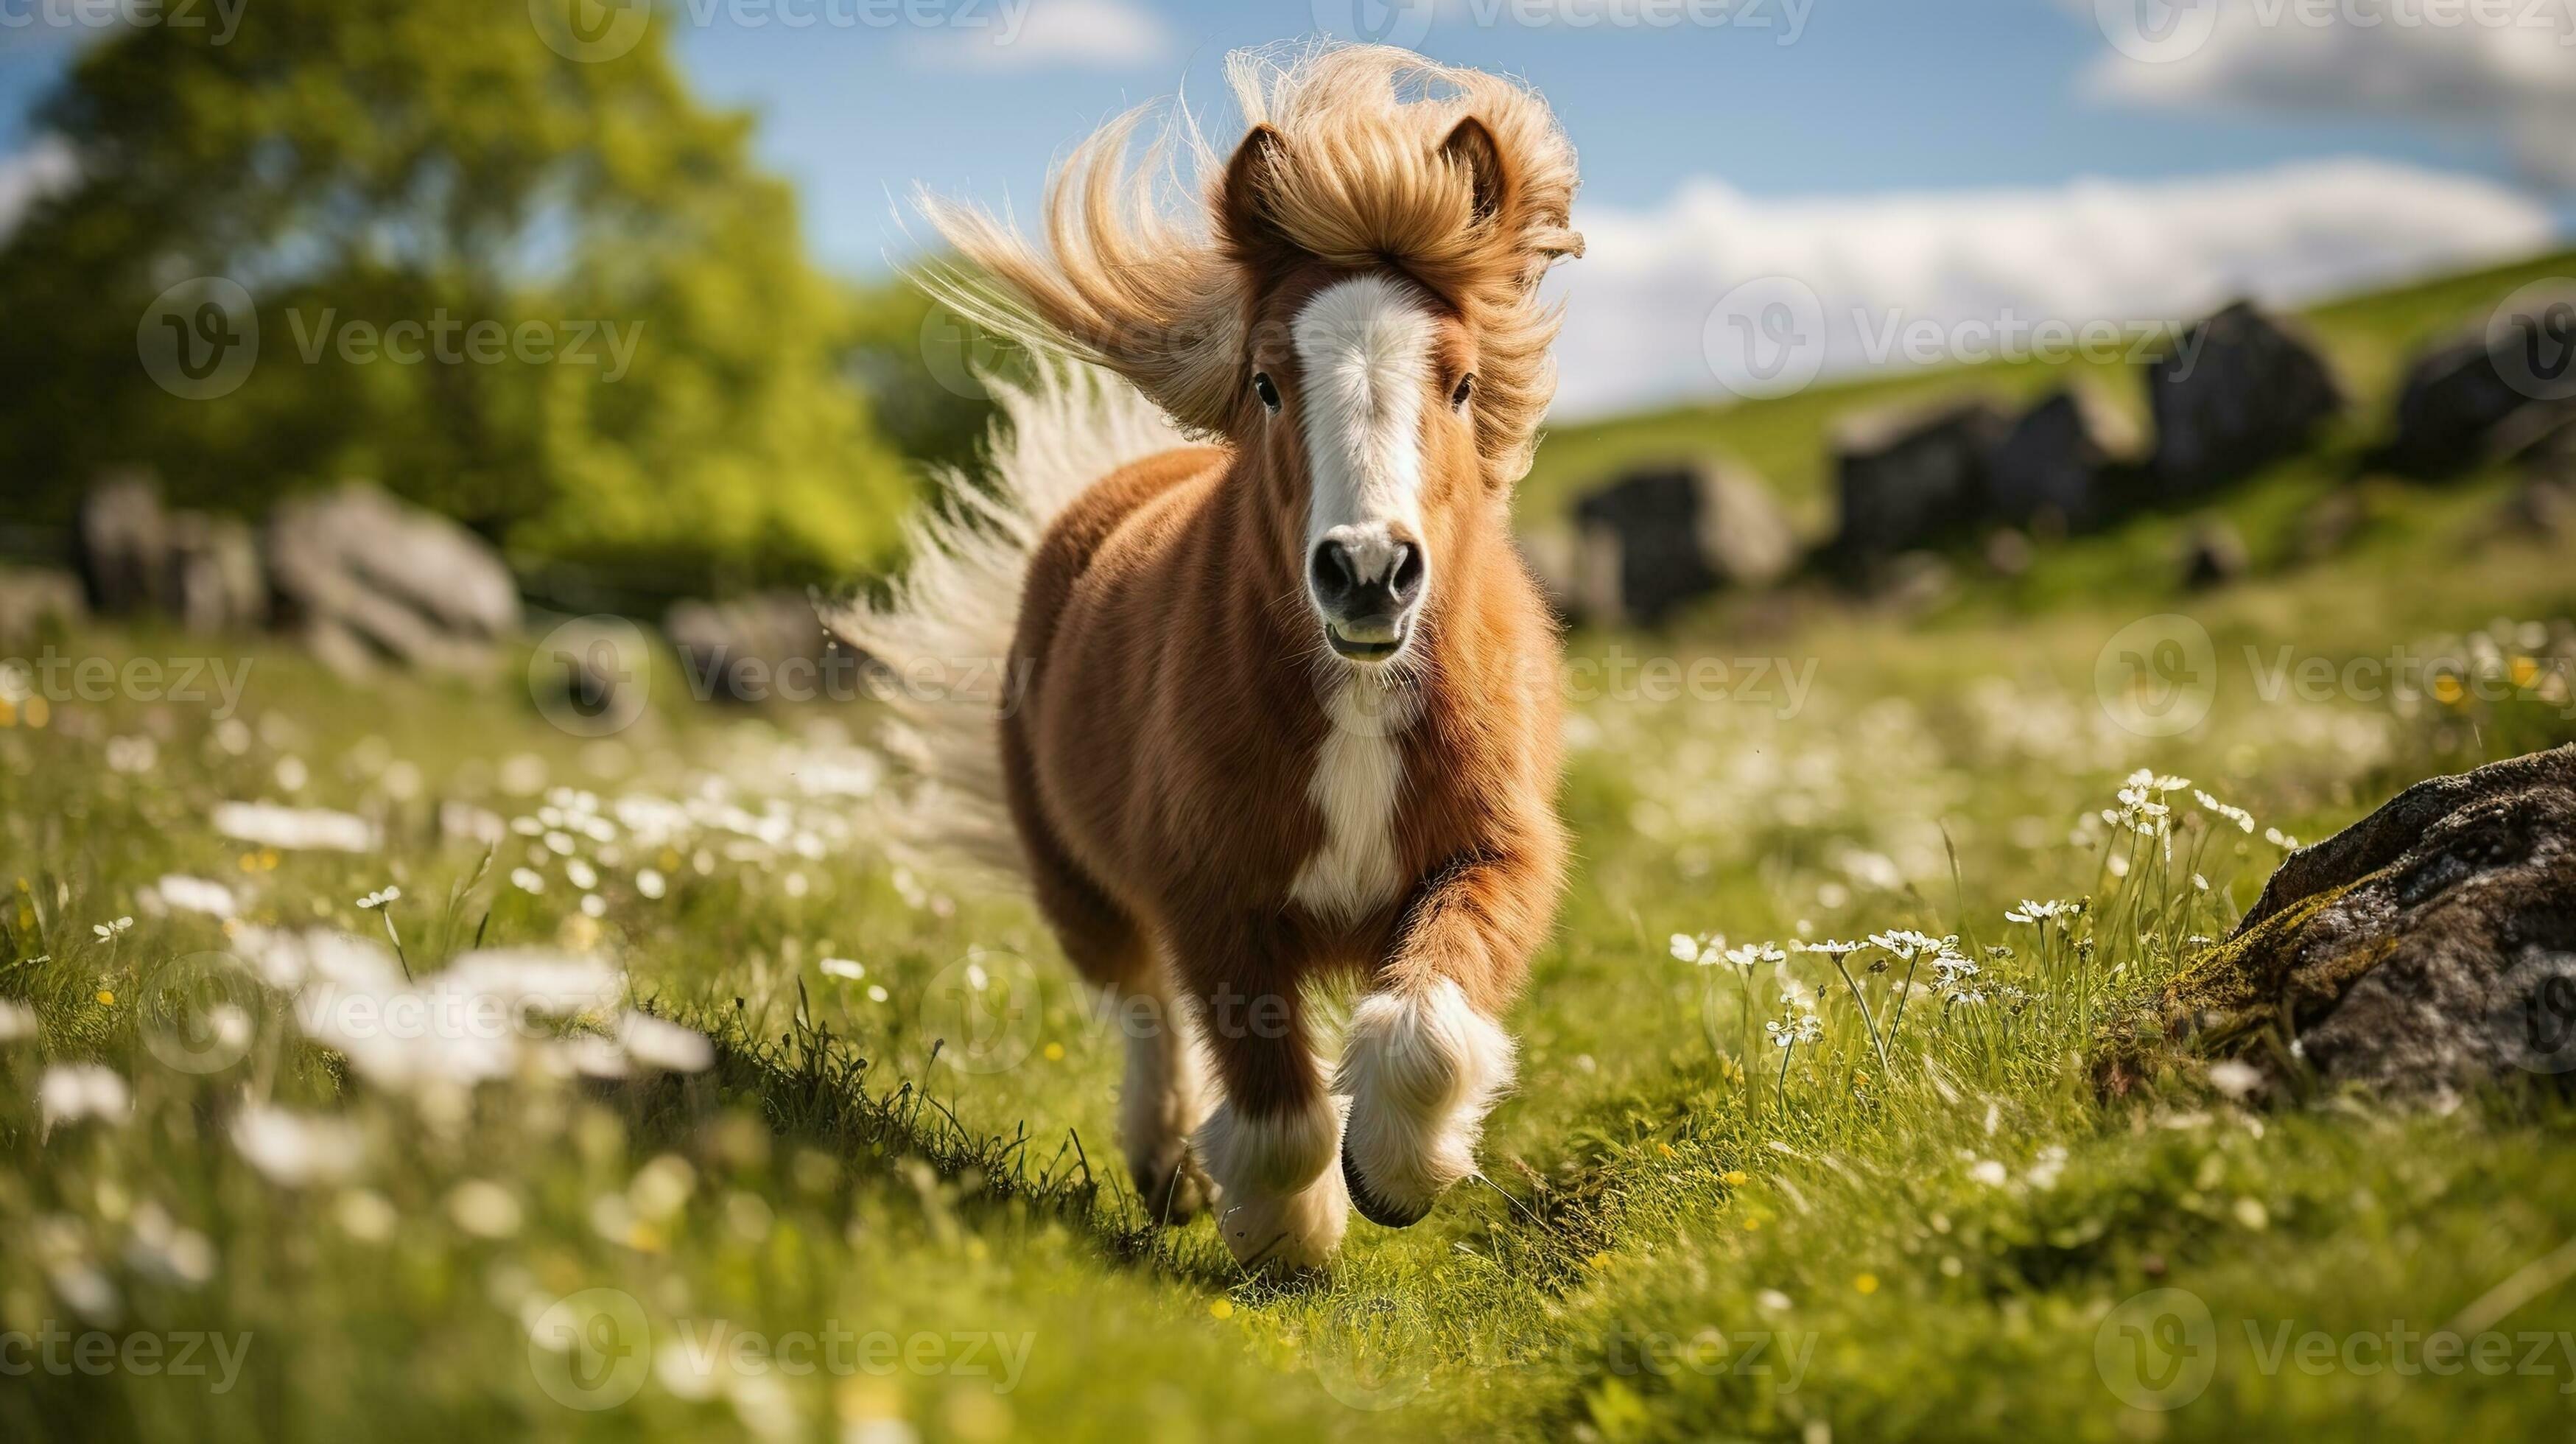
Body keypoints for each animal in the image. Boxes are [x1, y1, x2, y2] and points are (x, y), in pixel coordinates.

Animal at [835, 42, 1576, 1264]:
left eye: (1464, 384)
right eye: (1270, 383)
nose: (1367, 569)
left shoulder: (1496, 852)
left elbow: (1424, 1020)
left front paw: (1395, 1173)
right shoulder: (1211, 897)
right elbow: (1273, 1102)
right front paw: (1292, 1229)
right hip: (1076, 881)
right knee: (1142, 1006)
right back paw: (1165, 1165)